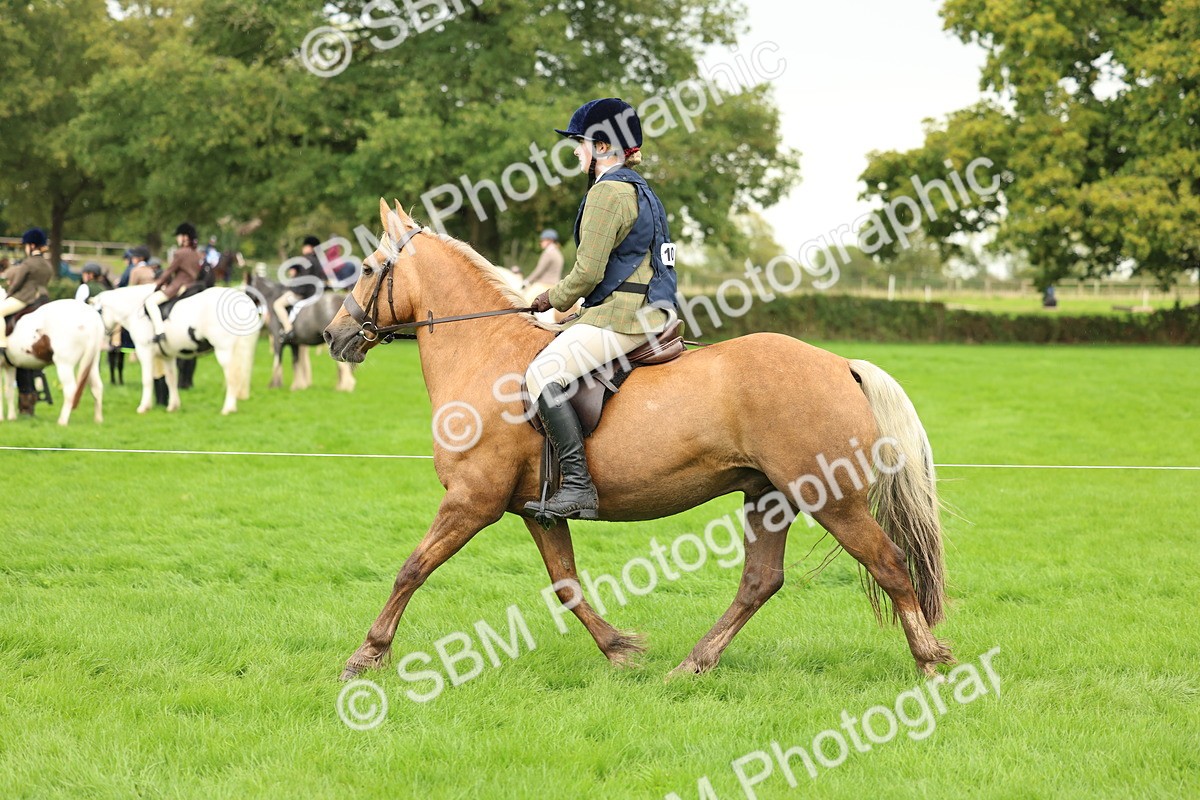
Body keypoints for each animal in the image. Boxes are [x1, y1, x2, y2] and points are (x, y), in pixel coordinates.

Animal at [1, 287, 104, 425]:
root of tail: (92, 318)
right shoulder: (9, 366)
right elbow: (9, 391)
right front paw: (11, 418)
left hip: (64, 364)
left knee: (70, 390)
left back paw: (62, 421)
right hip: (92, 363)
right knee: (97, 387)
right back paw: (98, 420)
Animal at [90, 284, 261, 415]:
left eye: (98, 311)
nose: (101, 338)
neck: (137, 310)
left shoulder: (145, 352)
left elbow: (147, 380)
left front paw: (144, 407)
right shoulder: (168, 356)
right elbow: (170, 379)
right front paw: (173, 406)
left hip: (223, 351)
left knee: (232, 376)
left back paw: (228, 408)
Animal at [322, 199, 952, 683]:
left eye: (369, 267)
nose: (333, 335)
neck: (485, 354)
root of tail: (840, 364)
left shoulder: (471, 501)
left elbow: (411, 568)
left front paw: (366, 655)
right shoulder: (536, 510)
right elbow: (566, 585)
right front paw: (620, 650)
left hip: (832, 500)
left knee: (889, 564)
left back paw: (929, 662)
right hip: (767, 497)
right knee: (760, 582)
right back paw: (693, 665)